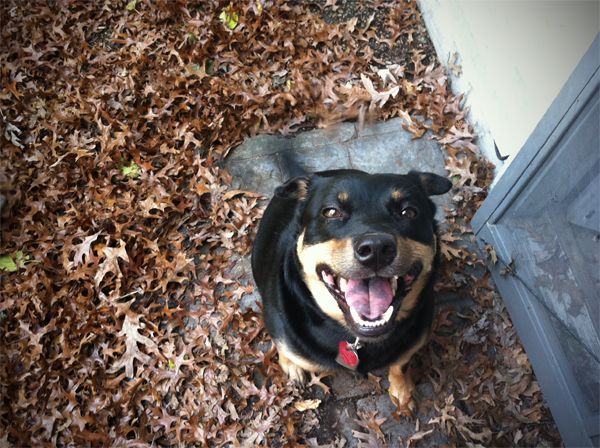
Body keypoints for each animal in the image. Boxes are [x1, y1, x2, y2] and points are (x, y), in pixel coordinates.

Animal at [251, 154, 452, 410]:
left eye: (408, 212)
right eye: (330, 212)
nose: (376, 249)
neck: (357, 339)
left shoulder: (414, 342)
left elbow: (400, 364)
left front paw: (402, 389)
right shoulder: (283, 333)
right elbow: (286, 349)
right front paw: (292, 365)